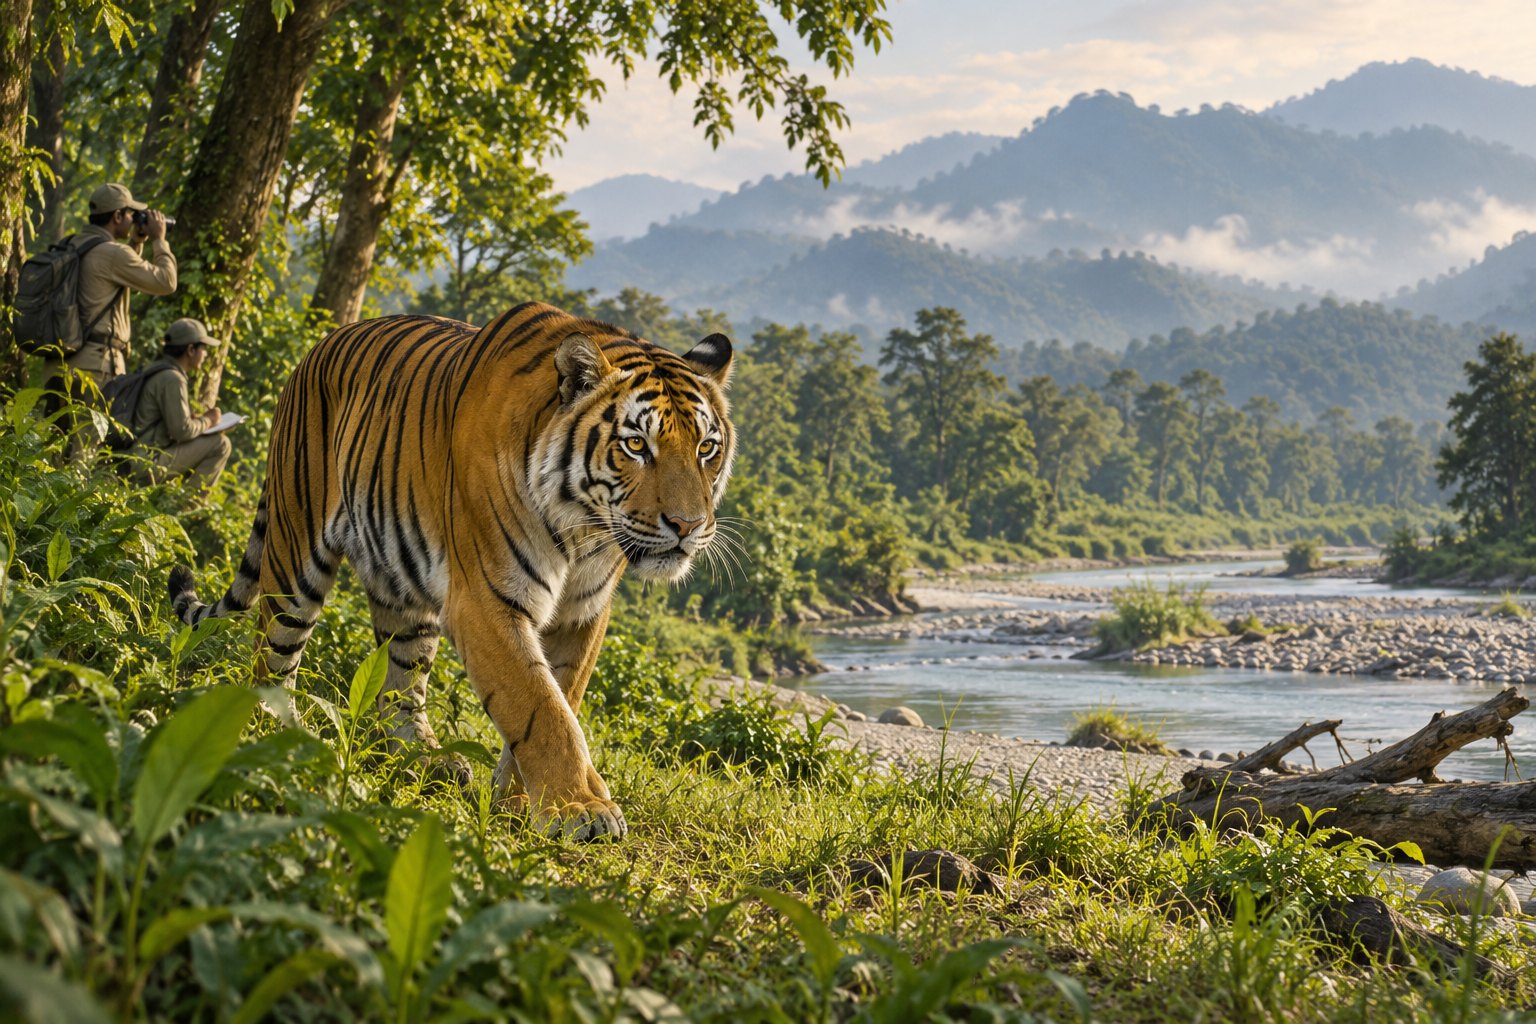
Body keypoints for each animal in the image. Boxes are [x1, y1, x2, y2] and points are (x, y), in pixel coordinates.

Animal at [168, 301, 735, 840]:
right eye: (636, 445)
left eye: (706, 447)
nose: (688, 525)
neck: (583, 531)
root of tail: (318, 346)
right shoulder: (486, 600)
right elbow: (541, 708)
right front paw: (579, 808)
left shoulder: (584, 612)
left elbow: (562, 697)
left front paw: (520, 804)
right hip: (294, 557)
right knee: (271, 661)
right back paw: (275, 737)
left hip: (401, 587)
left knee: (399, 686)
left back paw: (425, 758)